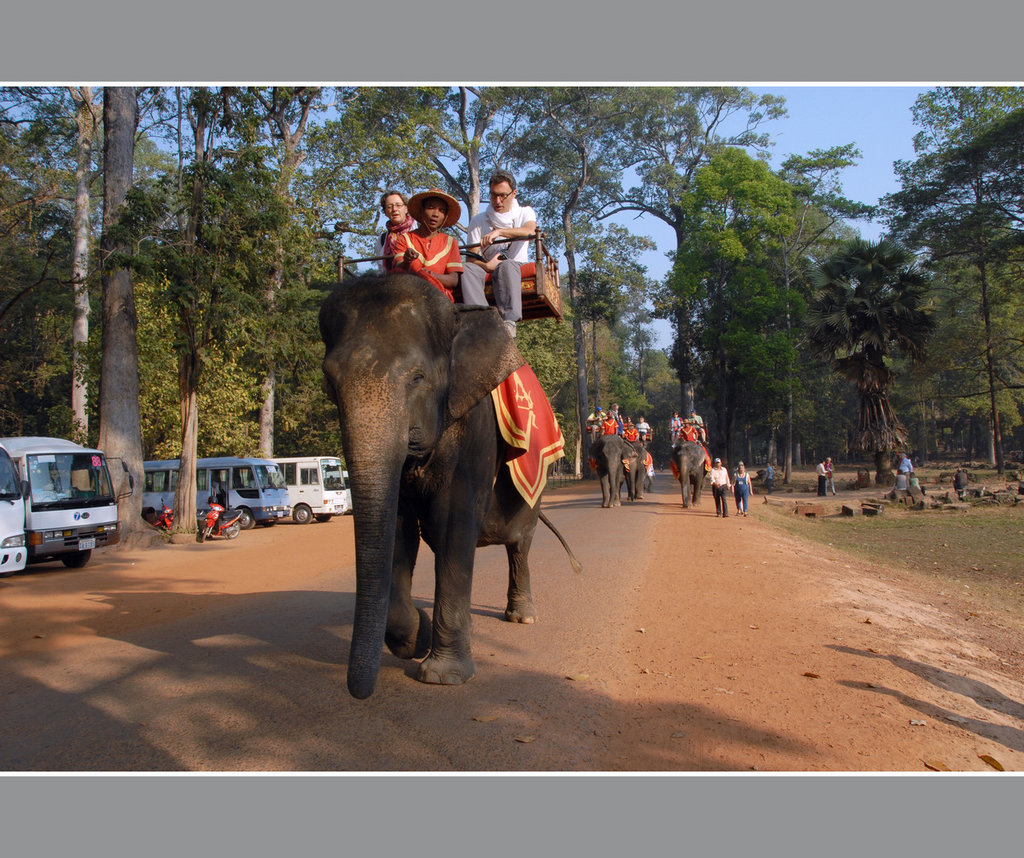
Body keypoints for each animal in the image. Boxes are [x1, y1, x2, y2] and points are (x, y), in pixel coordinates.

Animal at [315, 272, 581, 700]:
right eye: (329, 382)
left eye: (418, 377)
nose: (357, 692)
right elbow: (399, 530)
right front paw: (415, 638)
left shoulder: (476, 427)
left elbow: (454, 522)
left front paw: (443, 676)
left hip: (534, 487)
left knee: (519, 544)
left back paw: (522, 617)